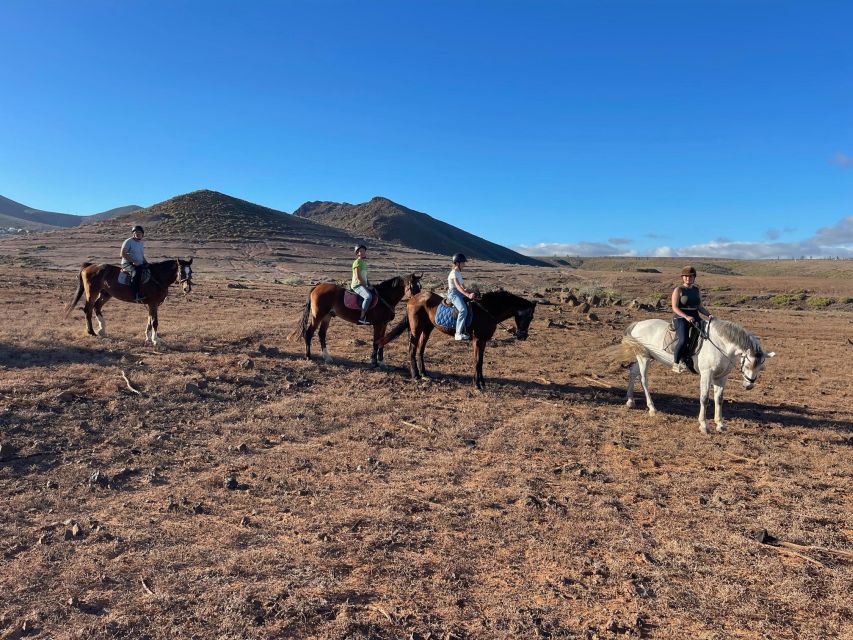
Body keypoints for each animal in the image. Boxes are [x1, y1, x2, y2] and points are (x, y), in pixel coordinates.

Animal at [64, 258, 195, 348]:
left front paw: (148, 337)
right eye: (181, 272)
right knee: (88, 309)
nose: (187, 288)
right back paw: (91, 332)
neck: (157, 277)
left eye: (191, 272)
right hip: (92, 292)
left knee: (97, 307)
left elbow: (149, 320)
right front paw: (155, 340)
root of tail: (90, 265)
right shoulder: (153, 304)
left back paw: (102, 330)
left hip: (106, 294)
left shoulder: (152, 305)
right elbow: (154, 321)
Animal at [292, 272, 422, 368]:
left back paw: (327, 357)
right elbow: (376, 342)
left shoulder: (384, 324)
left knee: (321, 334)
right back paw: (308, 356)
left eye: (420, 287)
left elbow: (382, 342)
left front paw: (381, 362)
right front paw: (374, 363)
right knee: (309, 333)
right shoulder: (378, 325)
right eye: (413, 287)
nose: (419, 302)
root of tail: (317, 286)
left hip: (327, 316)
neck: (385, 297)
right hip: (318, 316)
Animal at [382, 290, 536, 390]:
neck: (487, 311)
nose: (523, 336)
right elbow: (477, 361)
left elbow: (481, 361)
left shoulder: (483, 341)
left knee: (420, 349)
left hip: (427, 329)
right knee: (412, 349)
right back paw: (415, 376)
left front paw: (481, 382)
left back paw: (424, 374)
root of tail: (413, 299)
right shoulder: (477, 340)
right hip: (416, 328)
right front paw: (477, 385)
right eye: (529, 317)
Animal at [620, 320, 772, 436]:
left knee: (633, 371)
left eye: (760, 367)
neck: (721, 346)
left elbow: (719, 399)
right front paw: (704, 426)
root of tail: (638, 324)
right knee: (644, 380)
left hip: (648, 358)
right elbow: (704, 399)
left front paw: (720, 424)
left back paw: (630, 400)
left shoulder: (721, 377)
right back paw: (651, 408)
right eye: (746, 364)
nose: (749, 386)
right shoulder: (706, 374)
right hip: (644, 357)